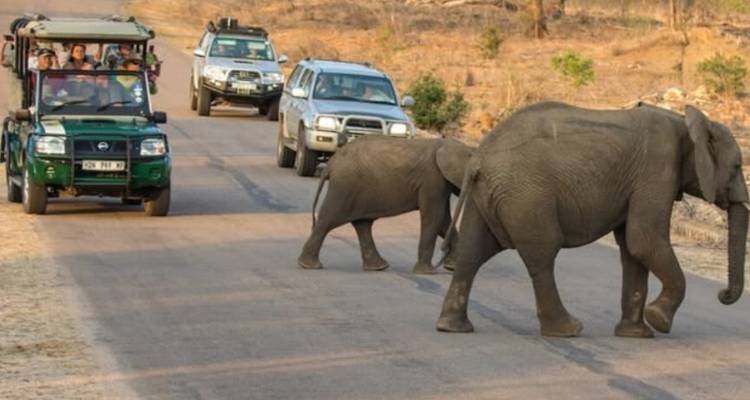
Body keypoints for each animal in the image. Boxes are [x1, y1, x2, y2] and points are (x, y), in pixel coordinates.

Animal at [298, 136, 474, 274]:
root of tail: (331, 163)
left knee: (362, 224)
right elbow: (434, 217)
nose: (441, 259)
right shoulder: (432, 180)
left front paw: (452, 267)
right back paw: (310, 265)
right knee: (328, 220)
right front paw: (427, 272)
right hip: (344, 187)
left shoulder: (440, 183)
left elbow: (443, 220)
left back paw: (378, 267)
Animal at [436, 101, 748, 338]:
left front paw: (636, 335)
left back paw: (452, 327)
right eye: (736, 167)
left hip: (489, 195)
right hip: (525, 196)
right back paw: (567, 330)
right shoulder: (657, 169)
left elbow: (633, 249)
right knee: (542, 255)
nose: (722, 294)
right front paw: (659, 321)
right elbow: (644, 240)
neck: (687, 121)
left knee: (473, 252)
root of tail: (478, 159)